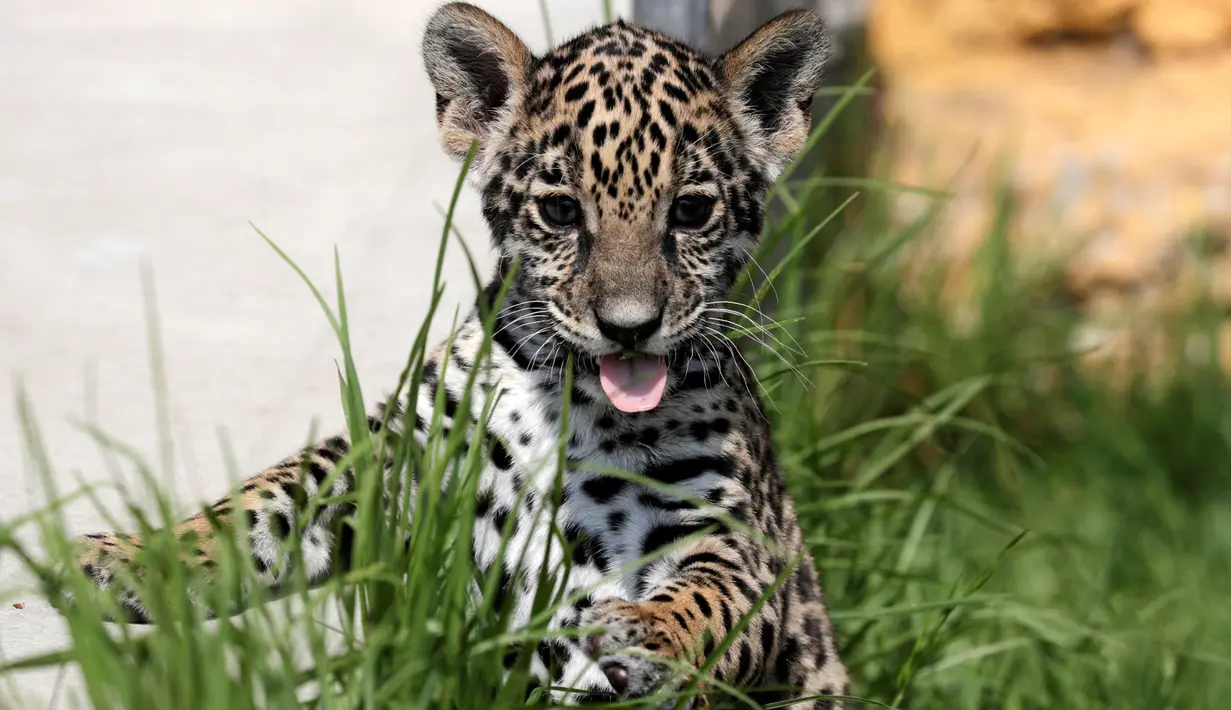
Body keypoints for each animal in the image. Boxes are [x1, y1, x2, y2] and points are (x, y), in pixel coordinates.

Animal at [65, 3, 849, 706]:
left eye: (689, 211)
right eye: (560, 211)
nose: (629, 328)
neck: (573, 402)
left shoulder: (730, 534)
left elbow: (711, 598)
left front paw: (643, 636)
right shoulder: (391, 462)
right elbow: (261, 500)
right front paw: (128, 557)